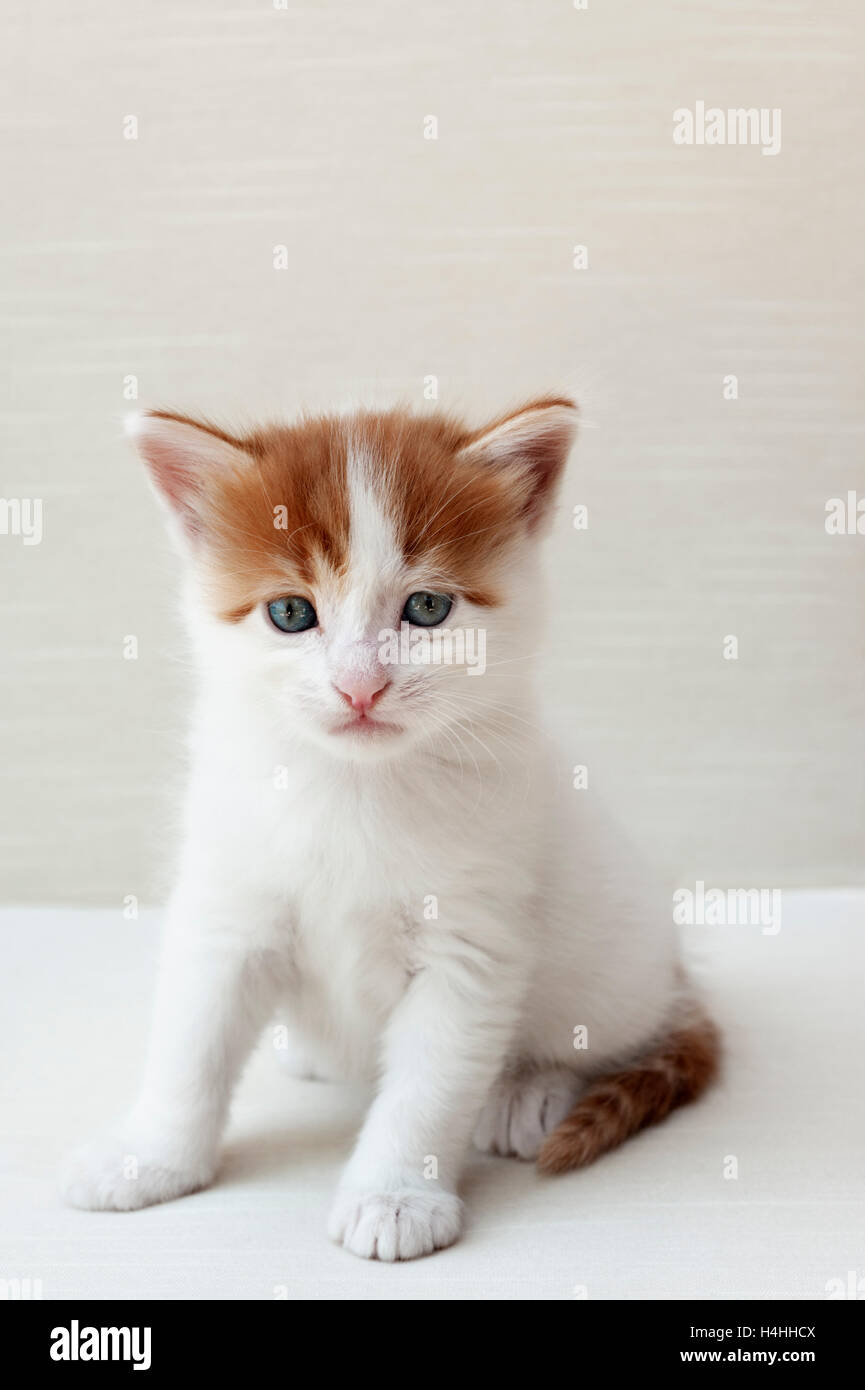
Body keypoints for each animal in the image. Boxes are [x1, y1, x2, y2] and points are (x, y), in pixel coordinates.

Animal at [64, 400, 723, 1262]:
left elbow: (428, 1084)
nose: (359, 686)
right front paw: (151, 1157)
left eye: (427, 609)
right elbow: (189, 1045)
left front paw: (396, 1196)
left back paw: (529, 1087)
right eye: (290, 614)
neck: (353, 786)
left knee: (604, 1036)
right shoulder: (227, 905)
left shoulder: (471, 941)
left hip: (617, 969)